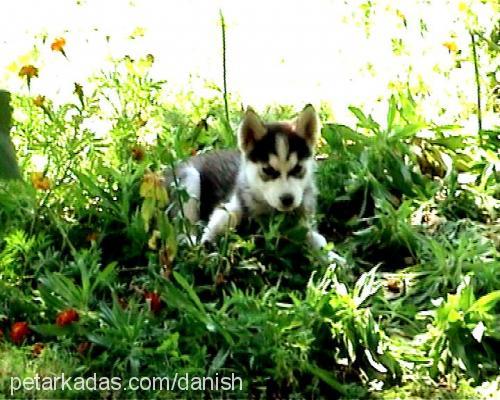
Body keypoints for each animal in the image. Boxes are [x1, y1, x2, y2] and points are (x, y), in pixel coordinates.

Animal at [172, 104, 336, 258]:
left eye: (297, 168)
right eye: (268, 170)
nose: (287, 200)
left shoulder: (304, 222)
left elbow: (318, 240)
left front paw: (334, 259)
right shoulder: (232, 204)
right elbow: (225, 217)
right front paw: (207, 245)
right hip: (189, 179)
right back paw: (190, 241)